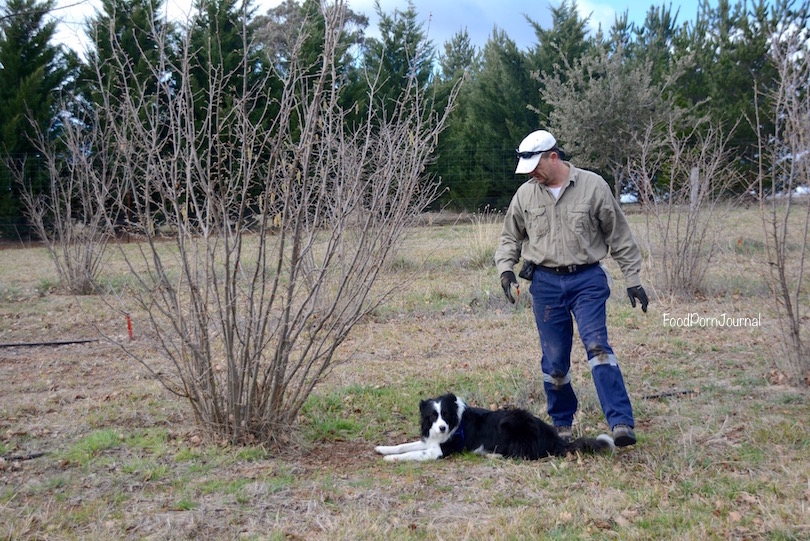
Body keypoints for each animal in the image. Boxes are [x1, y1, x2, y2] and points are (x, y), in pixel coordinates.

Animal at [372, 392, 612, 460]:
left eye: (446, 415)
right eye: (433, 415)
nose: (442, 429)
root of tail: (554, 438)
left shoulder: (441, 450)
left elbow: (413, 454)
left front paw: (391, 460)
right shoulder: (431, 441)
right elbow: (406, 446)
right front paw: (384, 449)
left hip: (510, 422)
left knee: (522, 454)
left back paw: (490, 453)